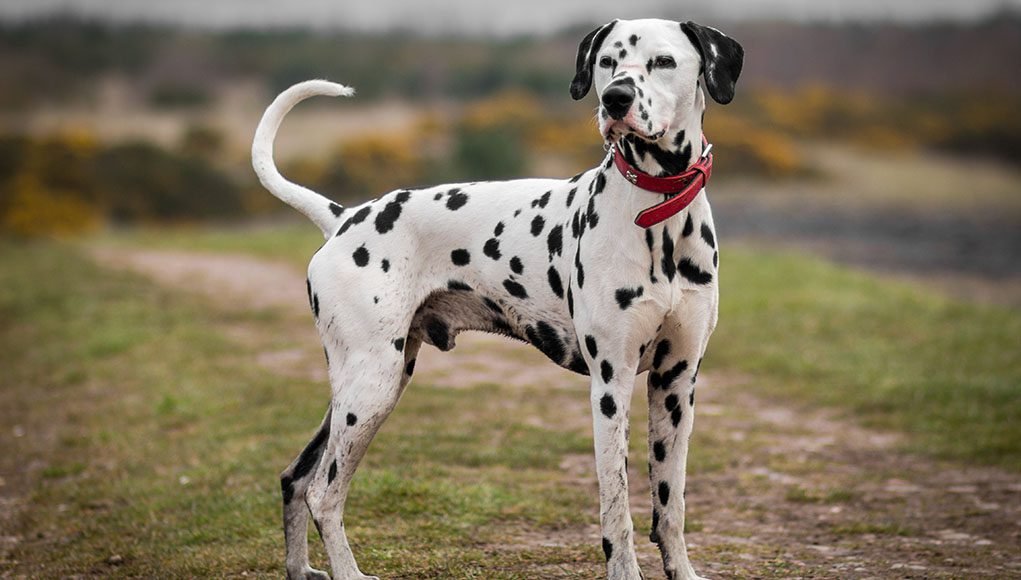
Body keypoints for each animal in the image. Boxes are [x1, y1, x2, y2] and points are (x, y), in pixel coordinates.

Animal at [254, 18, 743, 580]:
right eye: (607, 62)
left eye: (663, 61)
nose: (616, 98)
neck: (658, 215)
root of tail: (344, 216)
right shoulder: (610, 385)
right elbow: (617, 509)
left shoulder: (676, 382)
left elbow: (671, 503)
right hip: (370, 388)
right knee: (323, 493)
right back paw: (349, 572)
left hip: (361, 390)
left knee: (295, 478)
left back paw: (299, 568)